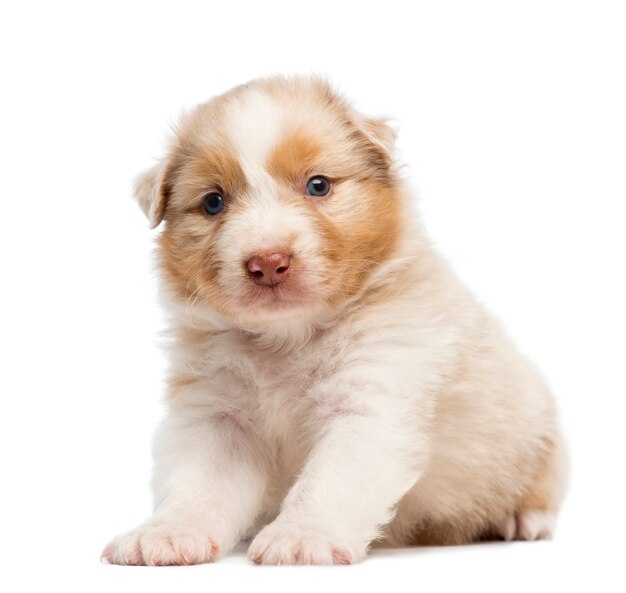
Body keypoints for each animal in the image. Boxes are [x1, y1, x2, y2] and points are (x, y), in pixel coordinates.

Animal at [101, 75, 564, 564]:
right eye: (213, 203)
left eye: (318, 185)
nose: (268, 262)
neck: (287, 338)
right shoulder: (217, 415)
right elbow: (197, 484)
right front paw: (163, 533)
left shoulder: (371, 396)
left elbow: (330, 480)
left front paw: (302, 536)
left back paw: (523, 519)